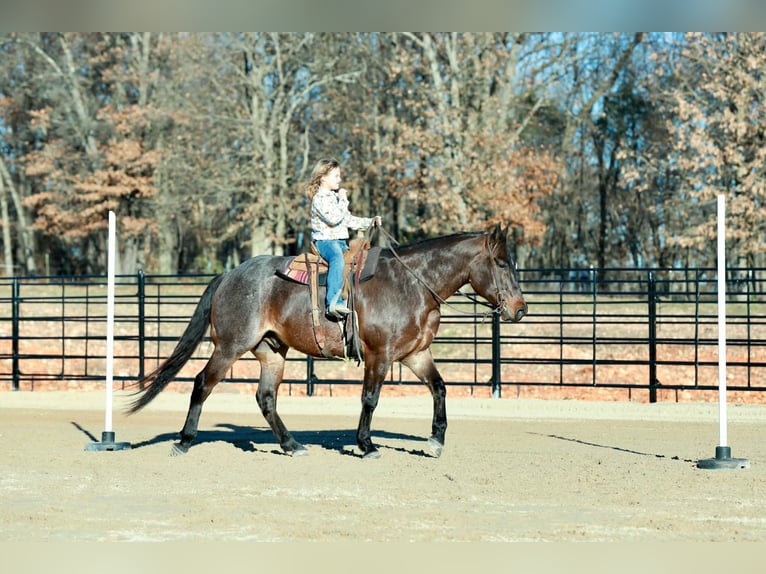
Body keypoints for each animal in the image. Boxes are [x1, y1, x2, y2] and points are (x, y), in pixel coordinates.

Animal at [127, 223, 528, 459]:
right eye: (502, 263)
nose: (521, 309)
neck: (411, 283)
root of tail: (229, 275)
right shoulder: (379, 355)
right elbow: (370, 398)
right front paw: (366, 445)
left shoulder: (415, 354)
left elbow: (440, 388)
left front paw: (435, 442)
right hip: (229, 346)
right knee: (202, 384)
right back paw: (184, 441)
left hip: (271, 352)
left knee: (266, 398)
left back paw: (292, 445)